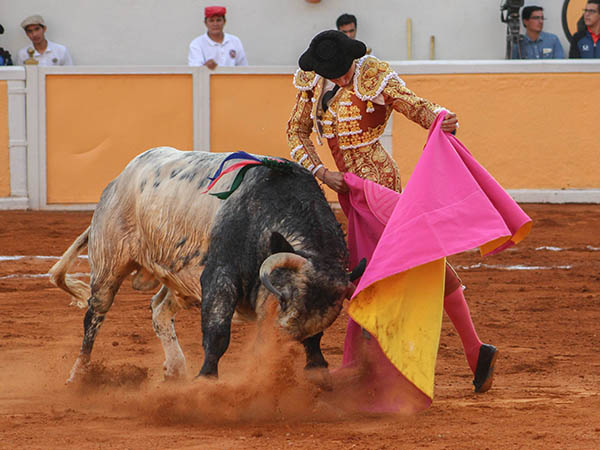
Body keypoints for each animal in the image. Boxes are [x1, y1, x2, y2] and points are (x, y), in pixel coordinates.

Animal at [50, 147, 362, 383]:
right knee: (95, 315)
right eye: (282, 296)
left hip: (180, 280)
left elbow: (313, 338)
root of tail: (119, 179)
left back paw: (175, 369)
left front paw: (317, 371)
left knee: (159, 309)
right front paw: (206, 380)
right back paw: (79, 376)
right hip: (109, 261)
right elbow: (217, 331)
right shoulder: (219, 276)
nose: (279, 339)